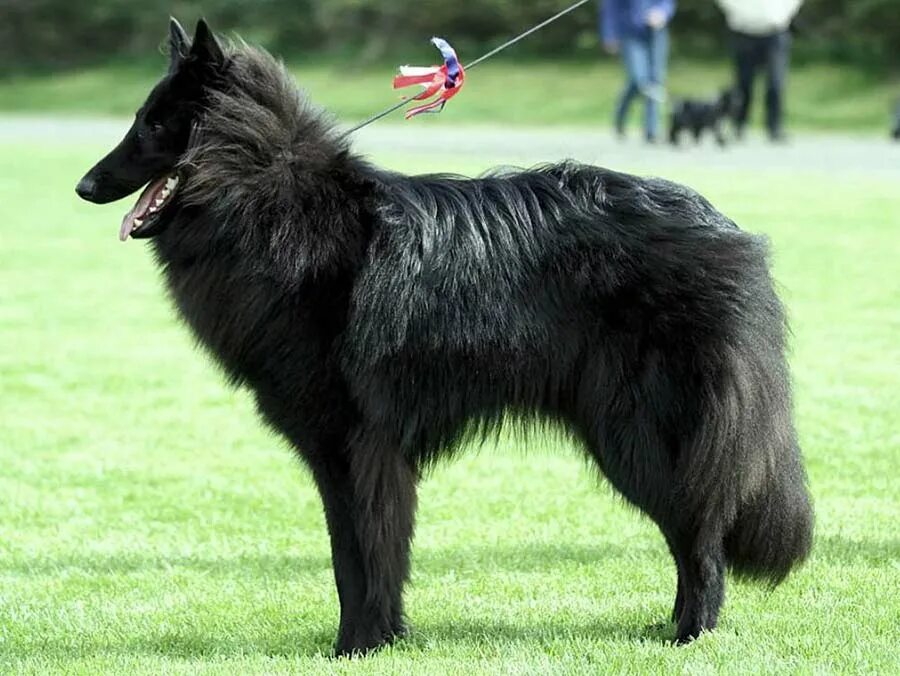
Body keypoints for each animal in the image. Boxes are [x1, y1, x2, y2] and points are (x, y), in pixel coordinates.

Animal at [74, 19, 812, 656]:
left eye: (153, 124)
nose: (82, 186)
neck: (271, 201)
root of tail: (729, 231)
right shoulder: (340, 453)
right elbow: (352, 555)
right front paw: (373, 639)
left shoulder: (358, 443)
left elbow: (365, 552)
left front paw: (360, 646)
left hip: (640, 434)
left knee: (701, 538)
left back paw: (690, 636)